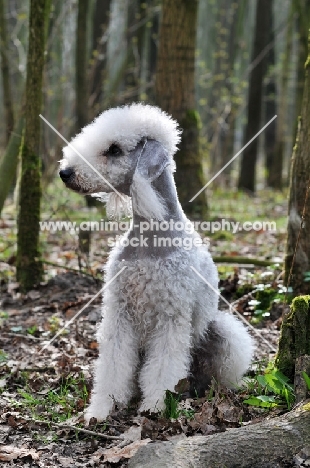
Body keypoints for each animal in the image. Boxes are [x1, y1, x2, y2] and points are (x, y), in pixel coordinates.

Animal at [58, 104, 254, 422]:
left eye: (114, 149)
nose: (65, 172)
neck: (150, 239)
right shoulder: (119, 312)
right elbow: (113, 364)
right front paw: (102, 408)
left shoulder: (170, 315)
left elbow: (163, 366)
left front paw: (155, 406)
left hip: (220, 331)